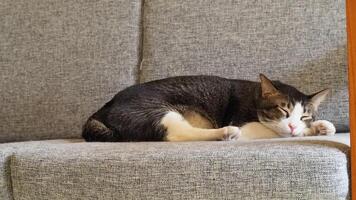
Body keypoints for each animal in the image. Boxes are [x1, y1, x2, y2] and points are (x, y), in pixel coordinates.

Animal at [82, 74, 336, 142]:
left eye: (304, 115)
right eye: (283, 110)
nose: (294, 125)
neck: (254, 96)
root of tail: (103, 108)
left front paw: (318, 126)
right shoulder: (246, 124)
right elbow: (274, 130)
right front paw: (312, 129)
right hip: (156, 111)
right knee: (177, 134)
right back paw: (224, 133)